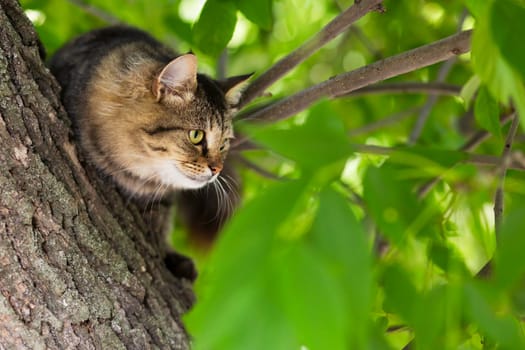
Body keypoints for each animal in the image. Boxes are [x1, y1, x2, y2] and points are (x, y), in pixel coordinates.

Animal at [50, 25, 251, 278]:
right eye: (196, 136)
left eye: (224, 143)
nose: (217, 169)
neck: (139, 175)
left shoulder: (165, 199)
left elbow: (162, 222)